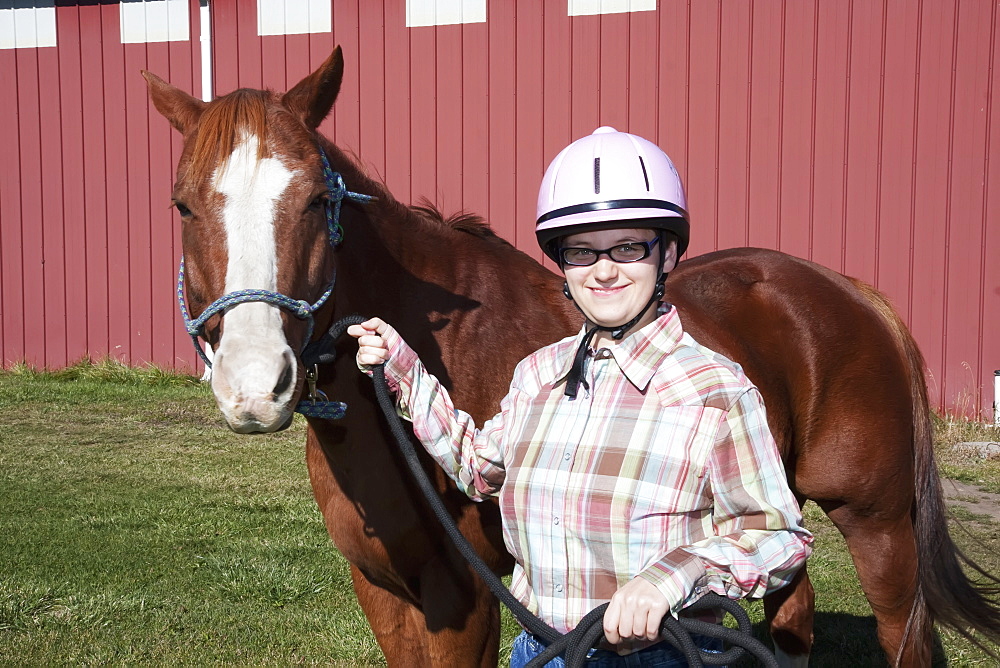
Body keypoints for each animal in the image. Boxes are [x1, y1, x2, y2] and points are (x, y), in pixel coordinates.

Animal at [143, 49, 1000, 664]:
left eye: (317, 202)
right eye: (182, 206)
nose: (256, 387)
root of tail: (848, 290)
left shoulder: (463, 597)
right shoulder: (384, 590)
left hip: (877, 525)